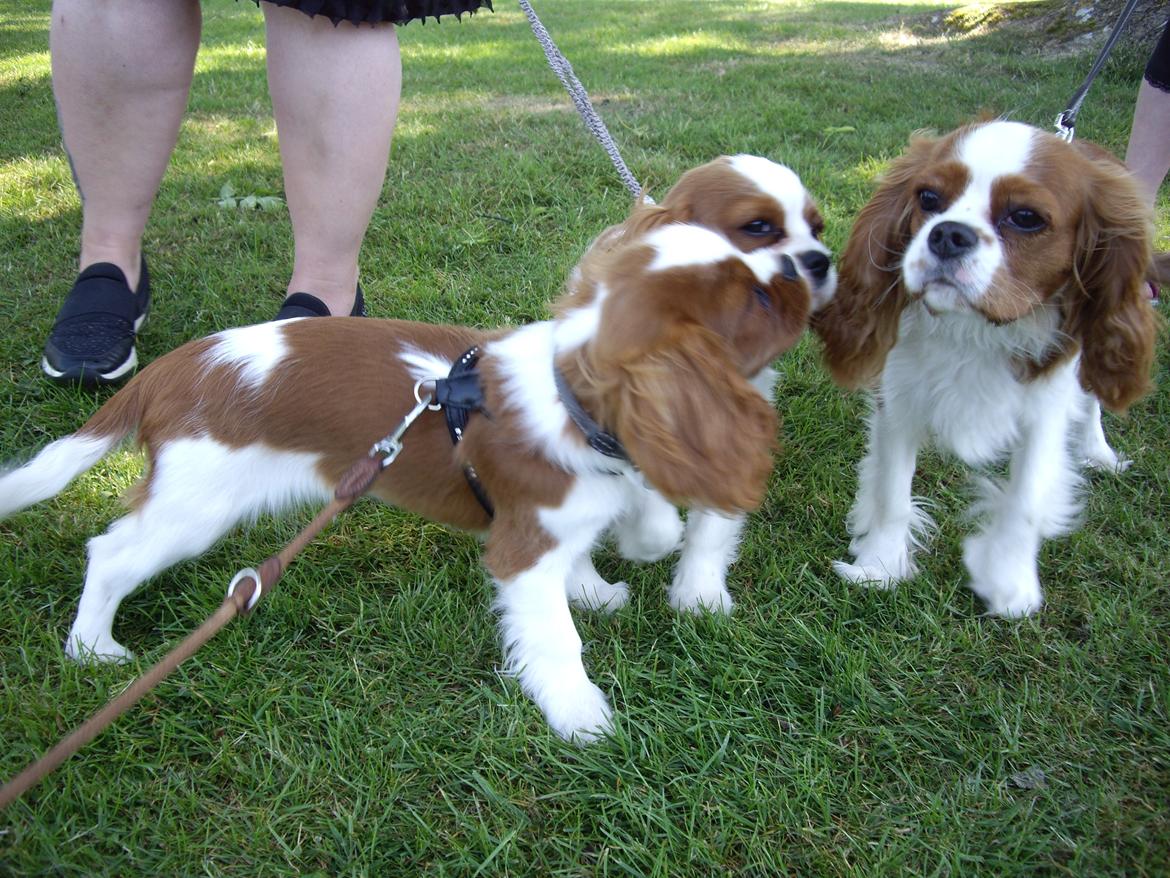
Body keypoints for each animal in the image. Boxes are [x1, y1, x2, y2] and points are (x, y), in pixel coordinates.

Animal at [4, 156, 837, 744]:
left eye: (811, 230)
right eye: (758, 260)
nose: (816, 266)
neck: (572, 394)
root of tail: (173, 368)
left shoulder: (575, 506)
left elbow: (641, 524)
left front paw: (608, 579)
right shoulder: (522, 548)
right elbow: (556, 633)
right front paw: (580, 717)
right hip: (193, 503)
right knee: (110, 551)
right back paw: (92, 648)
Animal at [814, 120, 1160, 618]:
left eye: (1026, 217)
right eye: (928, 198)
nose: (947, 234)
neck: (975, 328)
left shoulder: (1045, 409)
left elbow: (1026, 499)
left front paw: (1008, 584)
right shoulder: (899, 396)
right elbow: (891, 490)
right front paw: (880, 566)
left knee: (1093, 402)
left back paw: (1099, 452)